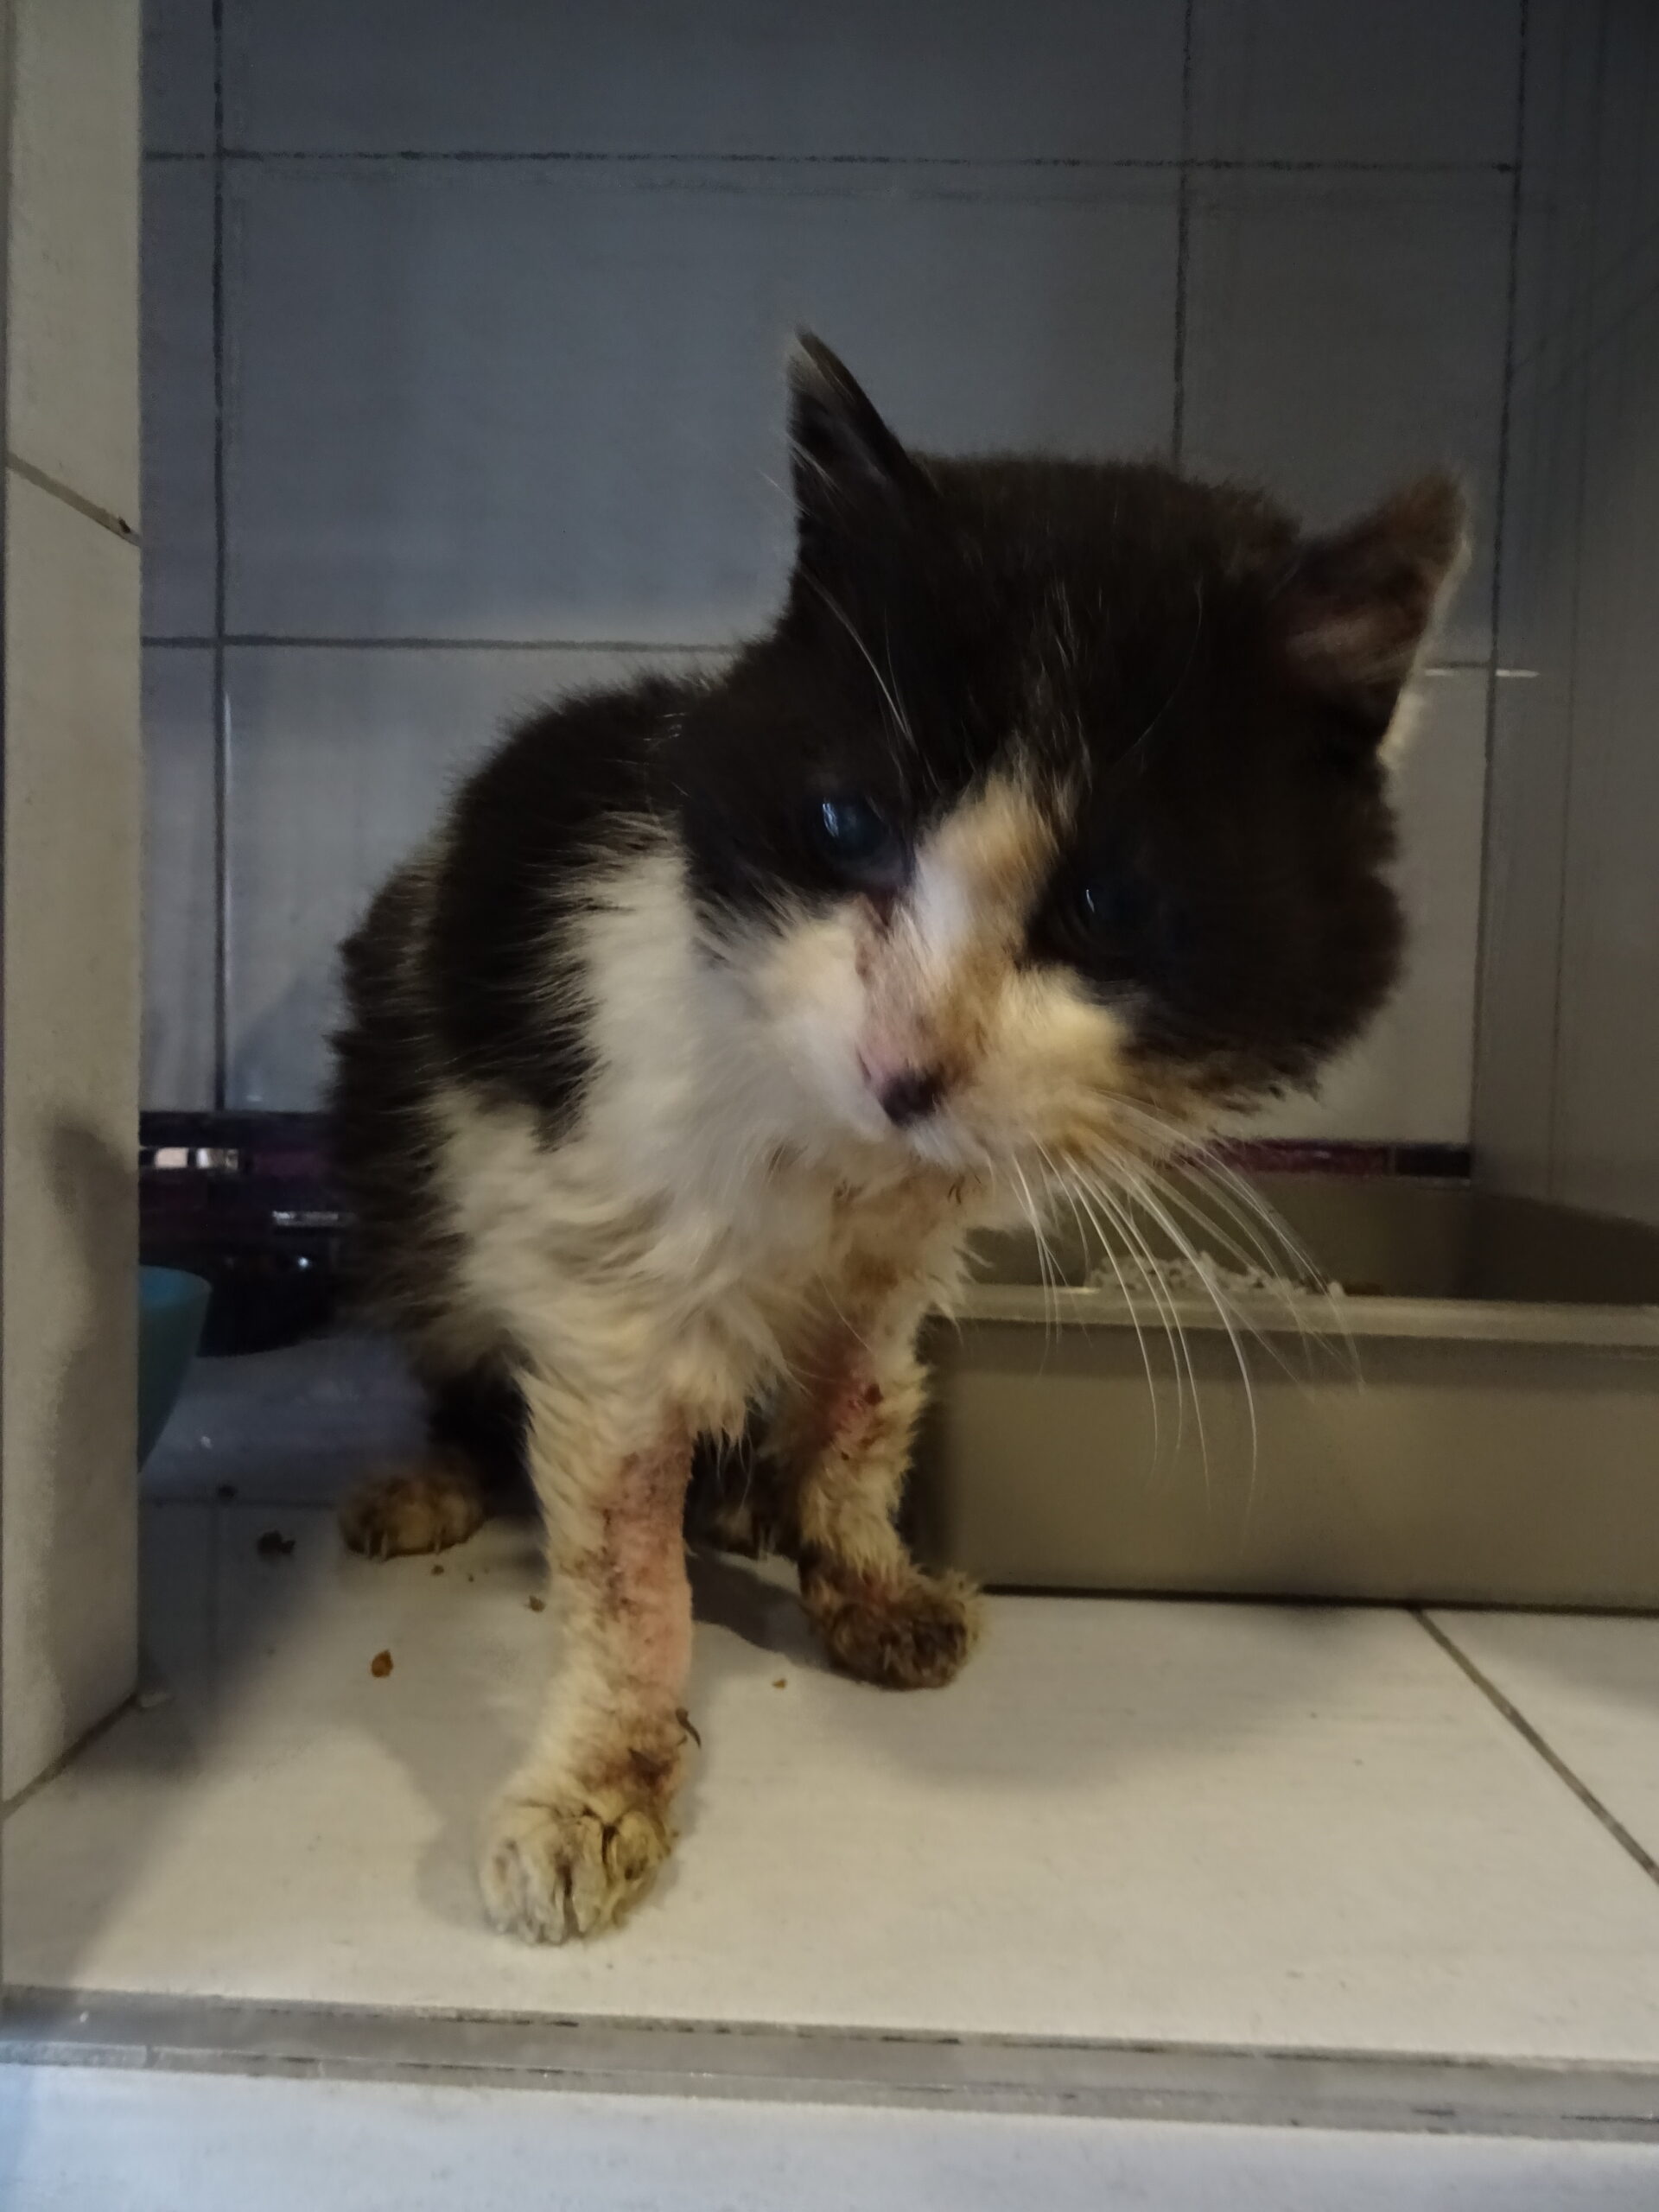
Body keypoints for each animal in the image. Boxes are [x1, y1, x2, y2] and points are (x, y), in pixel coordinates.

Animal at [330, 334, 1465, 1944]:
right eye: (842, 823)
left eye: (1108, 905)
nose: (903, 1064)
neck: (843, 1157)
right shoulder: (606, 1268)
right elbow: (621, 1560)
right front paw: (600, 1784)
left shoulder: (896, 1267)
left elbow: (864, 1411)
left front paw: (859, 1573)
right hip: (405, 1152)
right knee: (451, 1332)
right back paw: (439, 1478)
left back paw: (750, 1494)